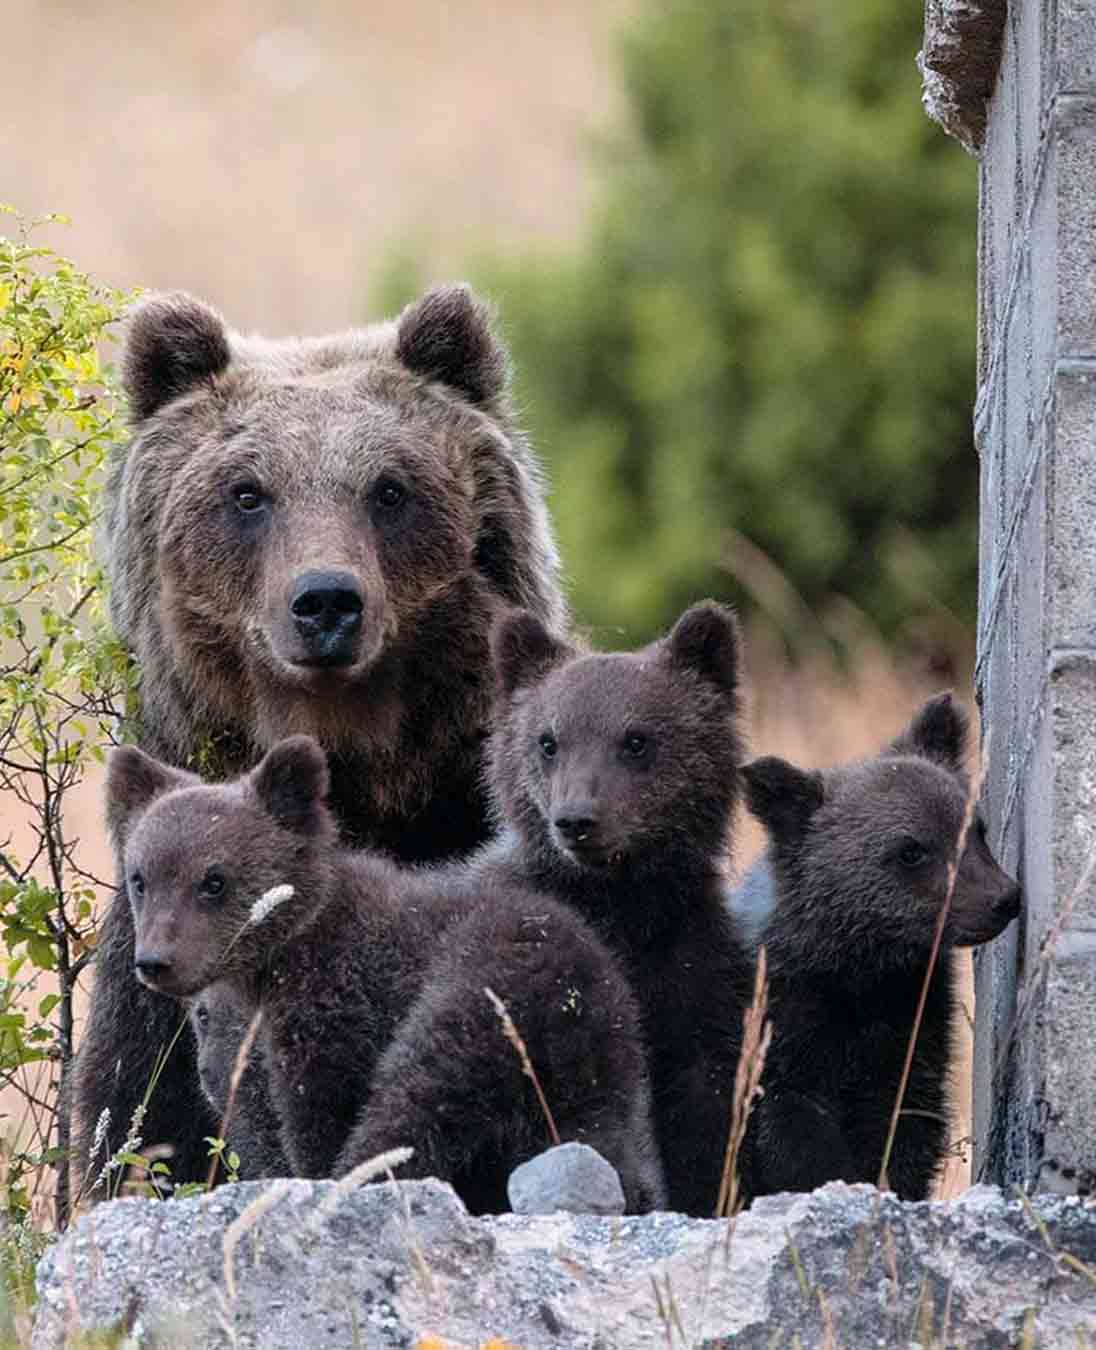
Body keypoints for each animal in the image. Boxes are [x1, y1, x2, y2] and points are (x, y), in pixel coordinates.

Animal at [74, 284, 568, 1189]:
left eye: (389, 488)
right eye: (247, 492)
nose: (327, 601)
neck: (354, 759)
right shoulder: (154, 931)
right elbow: (135, 1115)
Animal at [105, 735, 665, 1215]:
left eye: (213, 881)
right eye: (140, 879)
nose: (155, 961)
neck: (280, 960)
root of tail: (570, 992)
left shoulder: (334, 999)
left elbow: (321, 1111)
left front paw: (316, 1174)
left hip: (476, 996)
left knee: (412, 1103)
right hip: (598, 1068)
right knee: (606, 1145)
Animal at [476, 600, 756, 1217]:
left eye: (636, 739)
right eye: (548, 741)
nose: (577, 820)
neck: (620, 904)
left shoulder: (693, 966)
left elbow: (704, 1106)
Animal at [738, 693, 1022, 1201]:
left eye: (976, 829)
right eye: (910, 850)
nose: (1002, 898)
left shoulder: (912, 1028)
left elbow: (906, 1128)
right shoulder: (782, 1039)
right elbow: (795, 1139)